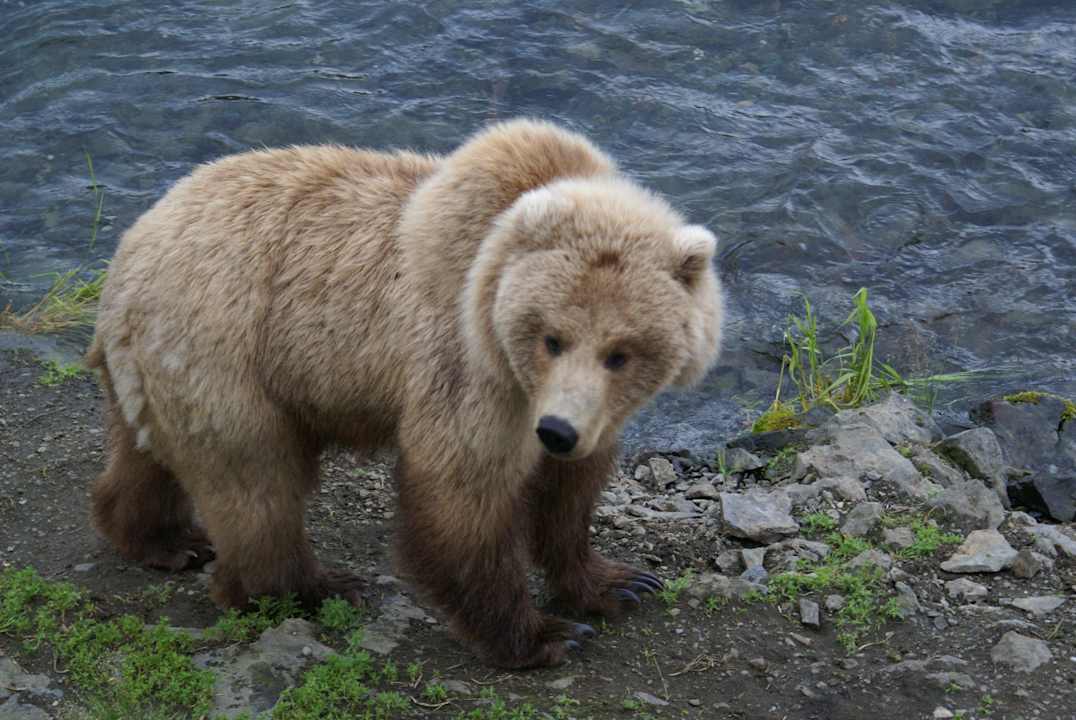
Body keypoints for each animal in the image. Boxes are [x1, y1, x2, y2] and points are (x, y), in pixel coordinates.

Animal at [87, 119, 724, 668]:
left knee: (149, 456)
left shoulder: (584, 409)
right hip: (227, 350)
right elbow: (461, 491)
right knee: (257, 483)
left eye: (620, 352)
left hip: (161, 368)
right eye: (552, 338)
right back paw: (310, 586)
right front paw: (543, 635)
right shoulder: (468, 361)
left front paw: (620, 582)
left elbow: (570, 493)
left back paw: (166, 540)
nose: (558, 431)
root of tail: (128, 253)